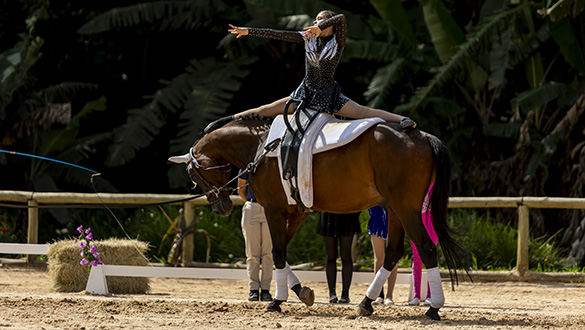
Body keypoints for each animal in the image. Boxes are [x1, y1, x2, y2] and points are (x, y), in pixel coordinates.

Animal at [170, 116, 470, 320]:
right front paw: (300, 291)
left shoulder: (274, 210)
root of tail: (422, 136)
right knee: (394, 252)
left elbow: (277, 252)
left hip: (406, 208)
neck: (261, 145)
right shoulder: (296, 212)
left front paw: (276, 301)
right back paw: (366, 303)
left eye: (193, 175)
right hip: (395, 209)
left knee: (426, 247)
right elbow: (282, 251)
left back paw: (433, 308)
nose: (220, 207)